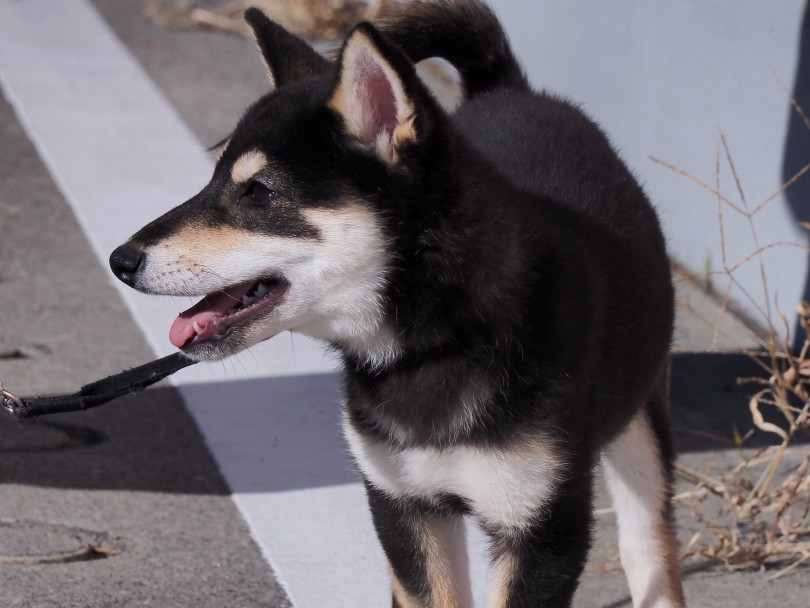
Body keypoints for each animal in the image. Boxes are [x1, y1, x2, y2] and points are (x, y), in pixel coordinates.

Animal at [109, 0, 680, 604]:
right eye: (213, 178)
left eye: (257, 192)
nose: (121, 260)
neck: (441, 344)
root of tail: (511, 88)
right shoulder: (401, 504)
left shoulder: (543, 526)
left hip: (638, 420)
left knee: (648, 547)